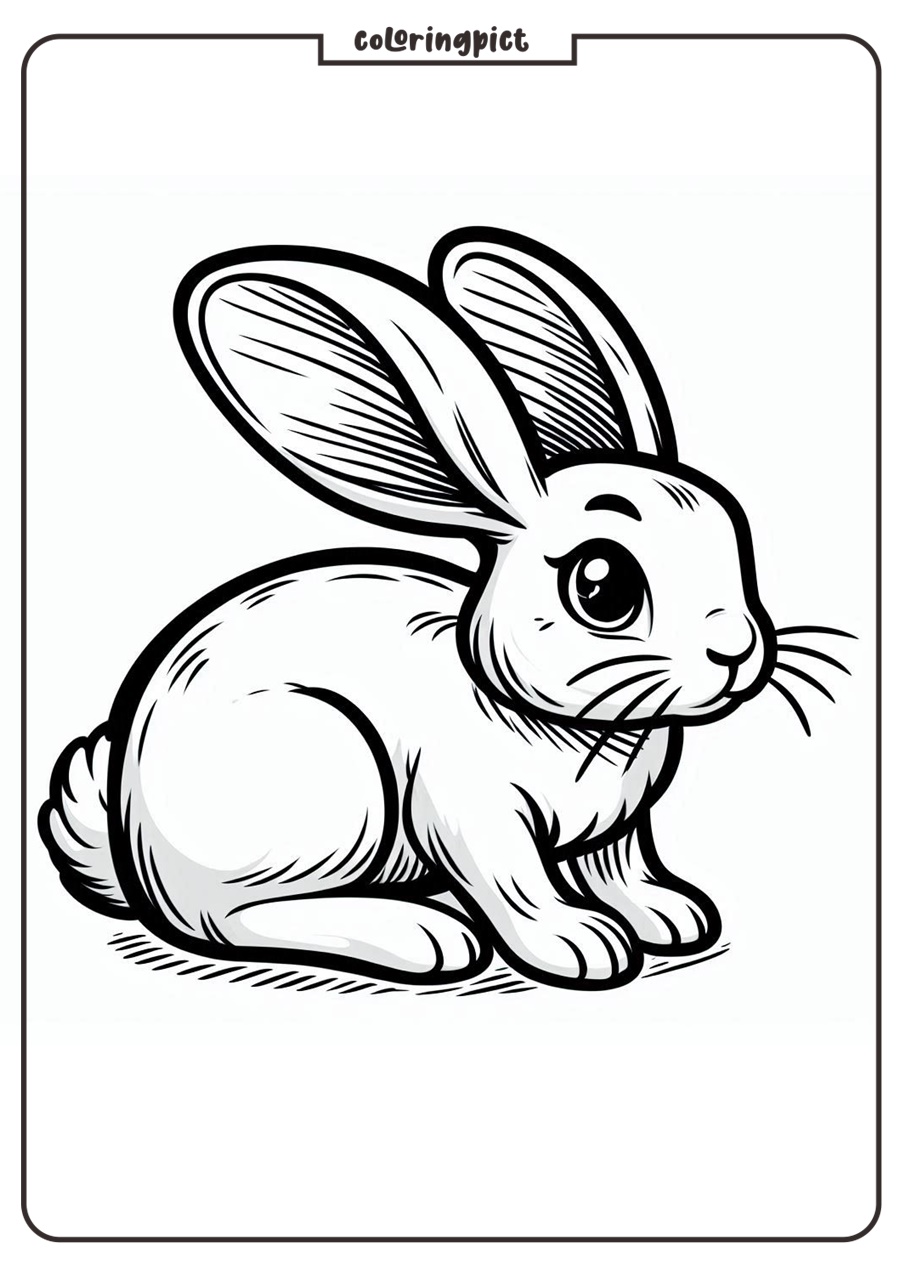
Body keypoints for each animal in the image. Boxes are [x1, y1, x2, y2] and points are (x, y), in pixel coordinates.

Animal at [40, 225, 797, 991]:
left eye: (731, 536)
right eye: (602, 586)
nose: (735, 651)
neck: (562, 721)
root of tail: (137, 851)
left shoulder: (616, 827)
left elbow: (618, 867)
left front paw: (671, 915)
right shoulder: (474, 817)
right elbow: (517, 888)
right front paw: (580, 943)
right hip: (325, 779)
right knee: (230, 916)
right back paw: (424, 934)